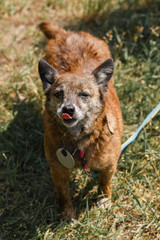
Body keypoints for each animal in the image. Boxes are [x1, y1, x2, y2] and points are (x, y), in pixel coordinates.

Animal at [38, 22, 123, 221]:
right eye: (58, 94)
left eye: (84, 94)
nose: (67, 110)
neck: (80, 139)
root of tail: (66, 33)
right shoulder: (58, 170)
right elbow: (63, 195)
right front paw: (68, 215)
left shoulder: (109, 165)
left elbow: (105, 183)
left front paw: (103, 201)